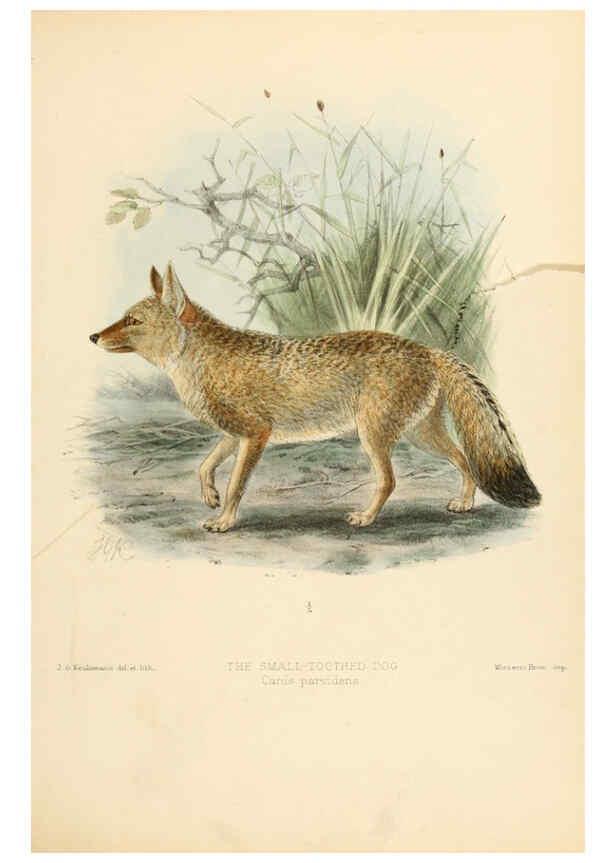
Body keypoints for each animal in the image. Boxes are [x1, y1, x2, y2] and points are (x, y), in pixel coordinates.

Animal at [89, 262, 541, 533]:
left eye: (132, 320)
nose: (93, 335)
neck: (197, 360)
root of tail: (427, 349)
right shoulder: (234, 434)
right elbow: (204, 466)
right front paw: (209, 496)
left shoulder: (256, 434)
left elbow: (237, 483)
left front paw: (225, 519)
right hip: (419, 435)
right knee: (464, 460)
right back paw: (464, 503)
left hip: (375, 436)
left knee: (390, 479)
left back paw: (366, 517)